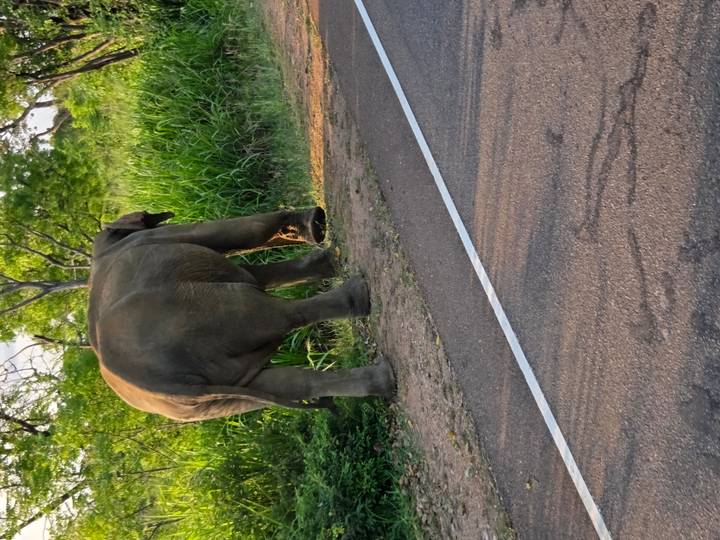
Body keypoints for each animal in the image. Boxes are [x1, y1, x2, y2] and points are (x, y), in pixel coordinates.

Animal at [88, 207, 395, 421]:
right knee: (278, 314)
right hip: (200, 313)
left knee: (287, 385)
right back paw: (358, 293)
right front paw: (318, 236)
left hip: (208, 401)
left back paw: (383, 380)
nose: (319, 219)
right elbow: (244, 236)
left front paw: (327, 254)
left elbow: (259, 274)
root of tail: (162, 386)